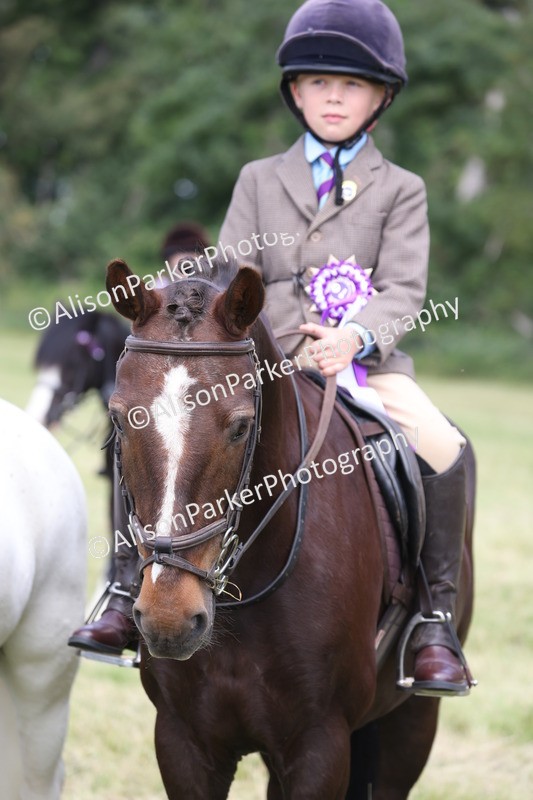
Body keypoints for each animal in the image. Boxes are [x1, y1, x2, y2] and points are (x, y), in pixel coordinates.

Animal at [105, 257, 475, 799]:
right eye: (119, 419)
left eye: (241, 426)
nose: (169, 618)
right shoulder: (182, 742)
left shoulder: (320, 746)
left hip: (411, 722)